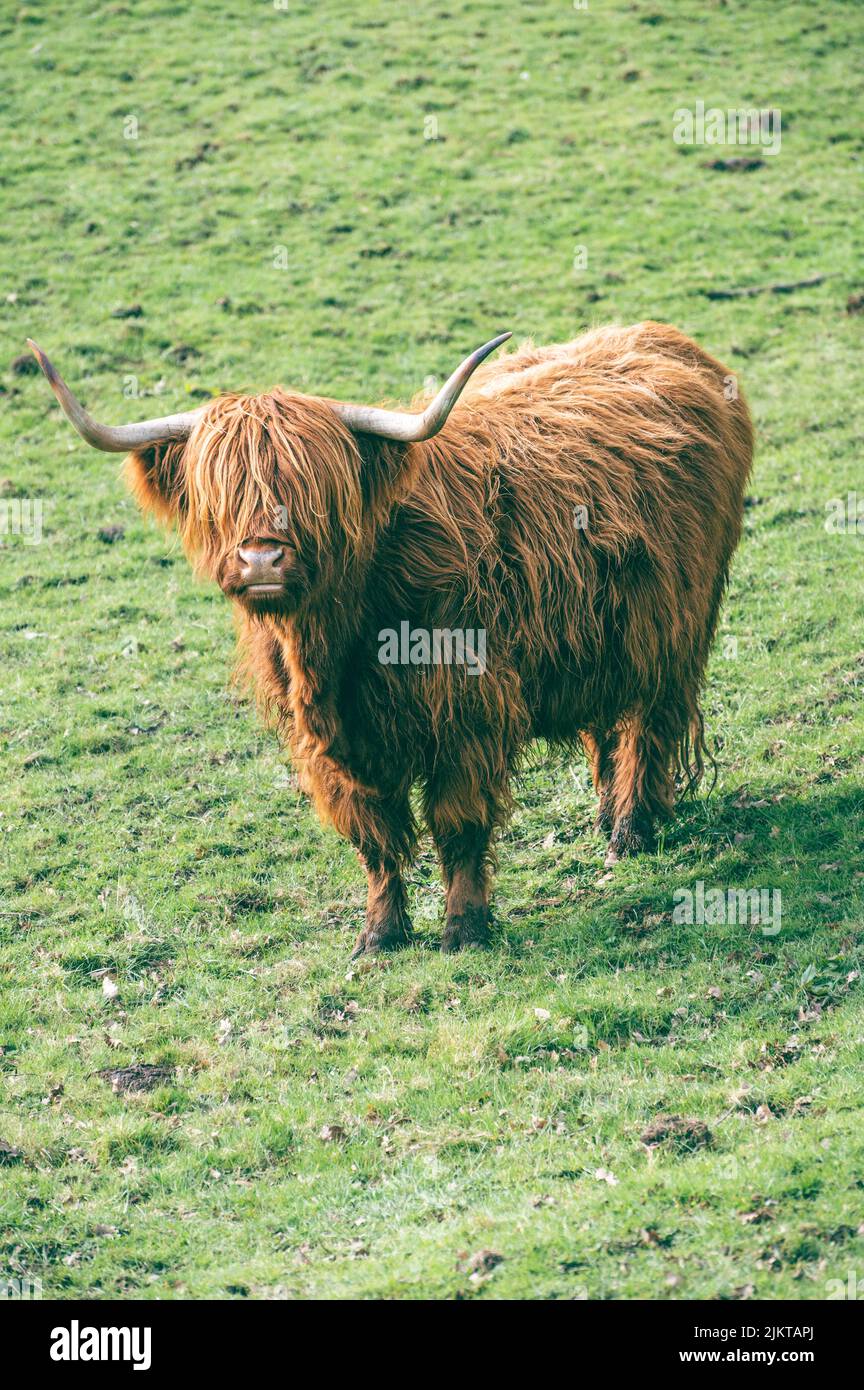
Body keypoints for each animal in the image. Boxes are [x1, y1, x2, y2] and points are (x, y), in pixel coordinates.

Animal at [29, 321, 753, 956]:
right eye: (221, 492)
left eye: (315, 488)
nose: (262, 560)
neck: (334, 646)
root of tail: (666, 341)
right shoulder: (329, 752)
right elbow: (373, 840)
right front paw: (379, 936)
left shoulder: (466, 713)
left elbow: (458, 824)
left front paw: (464, 929)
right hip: (602, 634)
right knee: (607, 719)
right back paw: (607, 815)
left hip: (674, 626)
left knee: (649, 723)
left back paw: (630, 830)